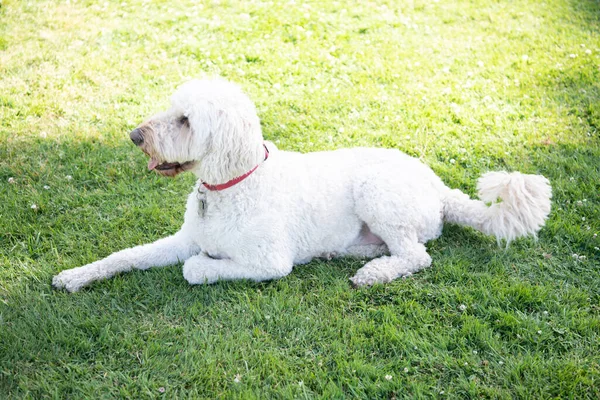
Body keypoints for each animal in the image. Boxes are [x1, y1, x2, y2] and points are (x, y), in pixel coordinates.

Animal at [52, 78, 552, 292]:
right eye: (172, 109)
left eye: (186, 120)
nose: (135, 136)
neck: (231, 186)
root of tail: (438, 183)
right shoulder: (183, 239)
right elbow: (125, 256)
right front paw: (76, 276)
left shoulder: (270, 262)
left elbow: (195, 268)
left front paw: (205, 266)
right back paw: (349, 254)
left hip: (376, 191)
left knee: (416, 256)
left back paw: (373, 272)